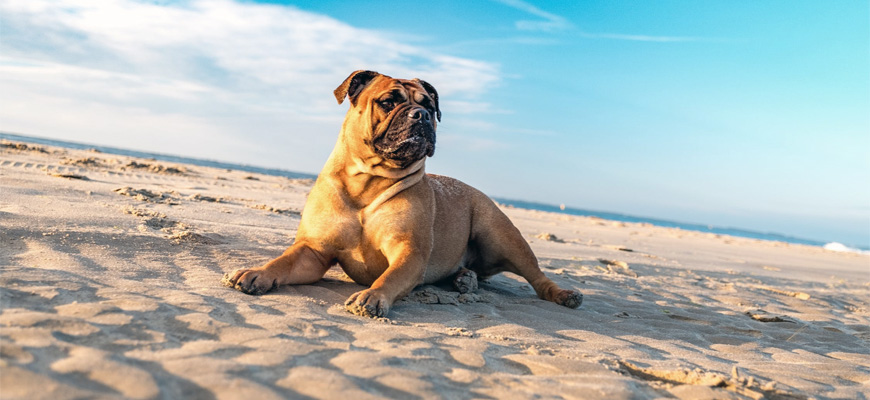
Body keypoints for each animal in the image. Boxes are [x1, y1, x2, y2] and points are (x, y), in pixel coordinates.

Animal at [221, 70, 584, 318]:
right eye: (388, 102)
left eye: (430, 107)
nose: (421, 115)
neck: (368, 183)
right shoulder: (314, 251)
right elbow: (283, 261)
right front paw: (259, 272)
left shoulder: (408, 252)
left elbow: (390, 276)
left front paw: (372, 295)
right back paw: (463, 279)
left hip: (502, 235)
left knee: (537, 278)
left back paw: (562, 294)